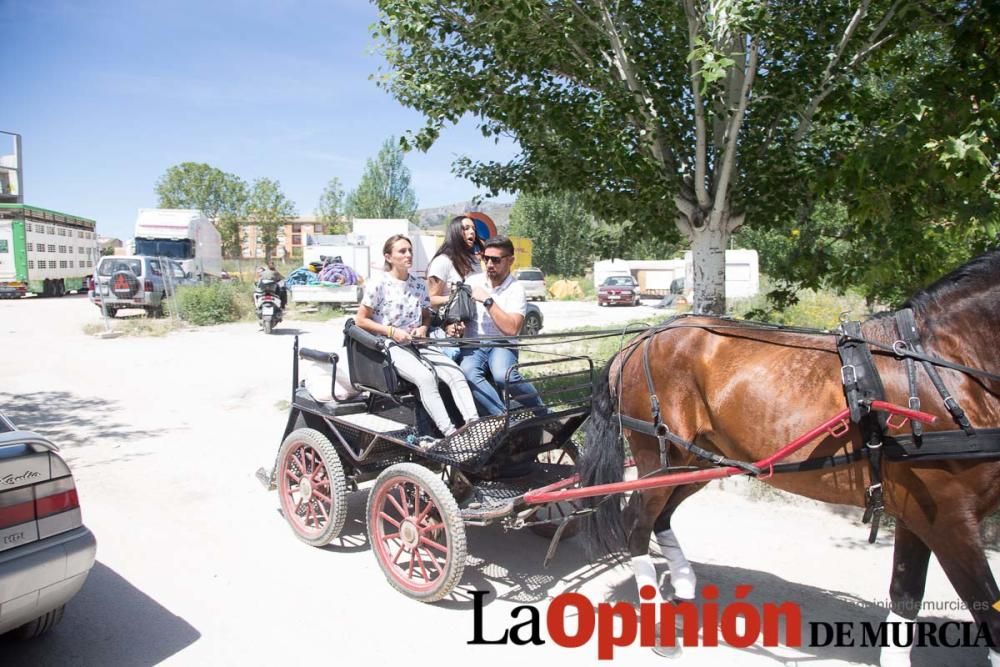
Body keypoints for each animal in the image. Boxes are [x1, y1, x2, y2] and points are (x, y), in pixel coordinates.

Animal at [580, 249, 1000, 664]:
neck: (938, 367)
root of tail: (638, 342)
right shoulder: (948, 518)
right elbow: (987, 610)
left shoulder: (919, 513)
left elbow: (906, 595)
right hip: (659, 459)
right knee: (637, 524)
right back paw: (657, 622)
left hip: (695, 462)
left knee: (660, 518)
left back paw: (683, 586)